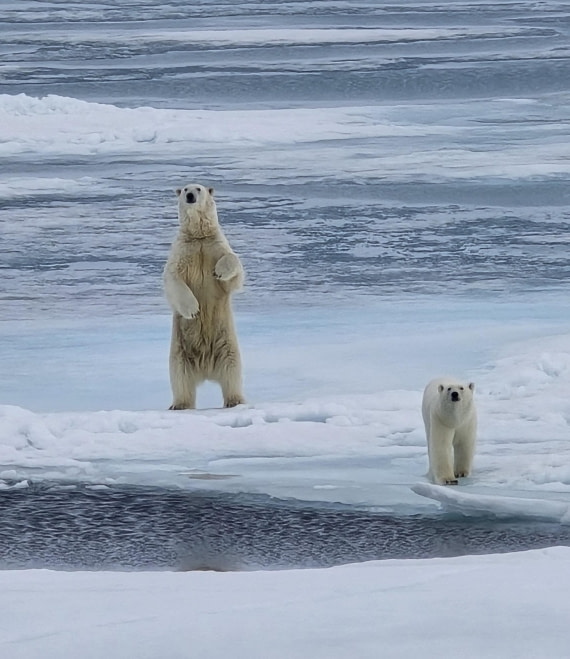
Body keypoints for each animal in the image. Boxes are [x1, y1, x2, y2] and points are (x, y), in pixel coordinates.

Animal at [163, 183, 245, 410]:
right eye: (184, 189)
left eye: (198, 188)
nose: (190, 195)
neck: (198, 236)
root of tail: (206, 369)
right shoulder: (182, 252)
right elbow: (172, 278)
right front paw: (193, 310)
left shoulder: (214, 246)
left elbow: (234, 269)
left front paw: (219, 271)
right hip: (179, 351)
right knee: (180, 377)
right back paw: (179, 404)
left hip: (227, 344)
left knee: (232, 371)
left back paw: (235, 400)